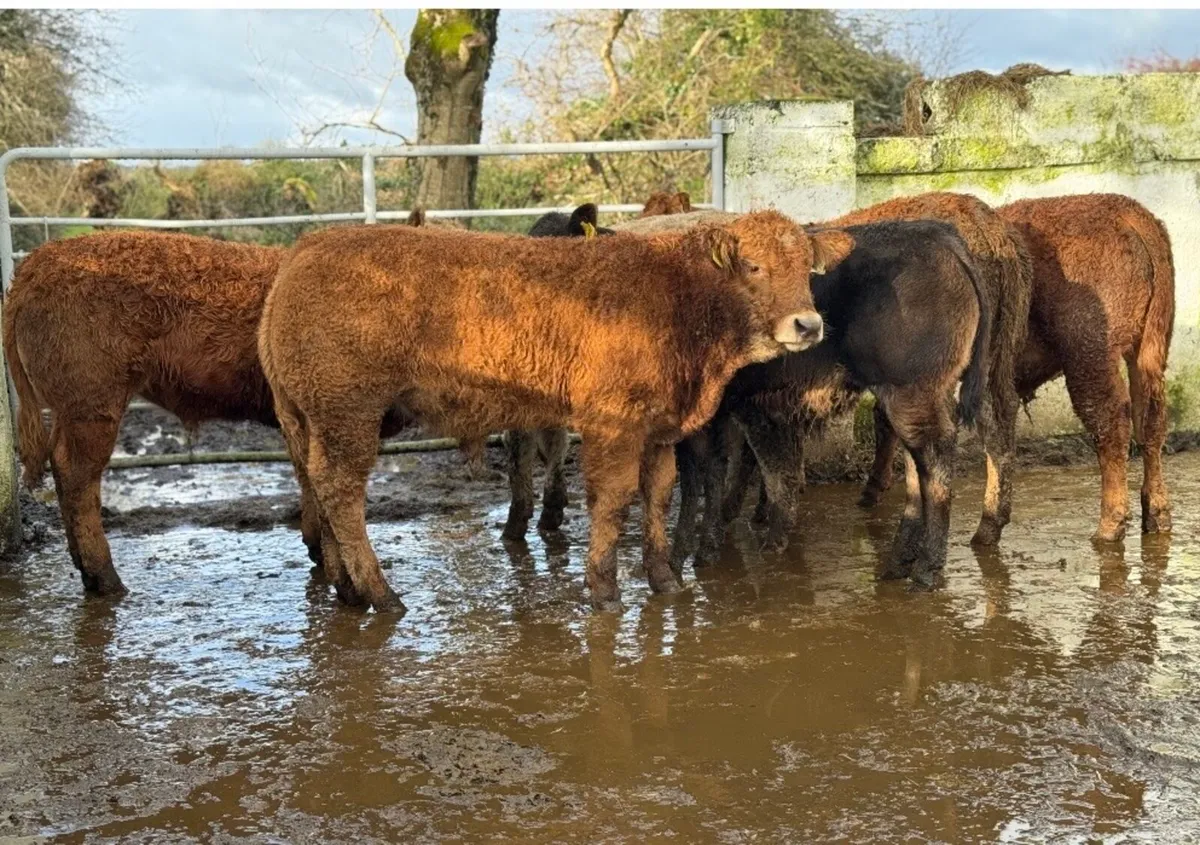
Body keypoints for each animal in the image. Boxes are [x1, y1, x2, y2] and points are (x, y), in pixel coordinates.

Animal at [3, 213, 424, 597]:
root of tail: (32, 267)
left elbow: (305, 474)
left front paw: (317, 553)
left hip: (70, 406)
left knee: (61, 465)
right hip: (92, 397)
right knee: (77, 474)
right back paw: (109, 583)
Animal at [257, 213, 853, 613]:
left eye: (807, 268)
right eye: (753, 266)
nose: (807, 324)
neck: (678, 298)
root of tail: (307, 247)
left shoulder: (659, 429)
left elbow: (658, 494)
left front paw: (664, 578)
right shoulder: (612, 423)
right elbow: (612, 500)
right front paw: (604, 588)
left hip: (309, 417)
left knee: (316, 484)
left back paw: (346, 588)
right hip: (348, 411)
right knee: (341, 492)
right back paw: (381, 594)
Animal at [865, 193, 1174, 542]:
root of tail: (1130, 216)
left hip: (1090, 358)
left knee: (1109, 423)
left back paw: (1109, 527)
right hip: (1146, 353)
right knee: (1150, 422)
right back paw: (1157, 516)